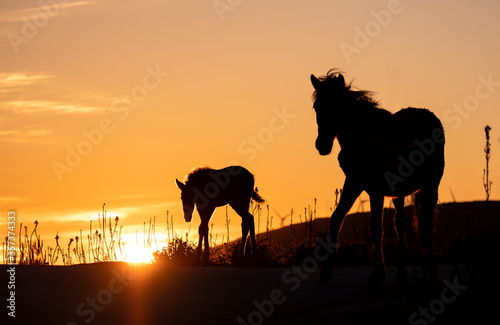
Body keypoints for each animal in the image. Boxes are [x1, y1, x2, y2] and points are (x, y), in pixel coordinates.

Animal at [312, 69, 446, 286]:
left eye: (338, 106)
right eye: (317, 106)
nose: (322, 145)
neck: (365, 137)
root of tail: (429, 116)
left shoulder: (376, 190)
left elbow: (376, 229)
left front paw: (377, 274)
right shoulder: (354, 183)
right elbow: (336, 218)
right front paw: (326, 271)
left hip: (431, 185)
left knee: (425, 227)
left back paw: (432, 275)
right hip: (400, 193)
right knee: (401, 224)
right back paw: (401, 275)